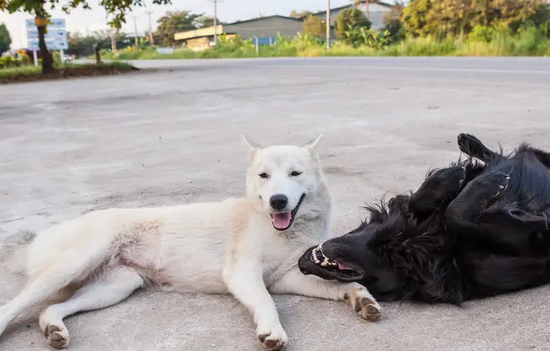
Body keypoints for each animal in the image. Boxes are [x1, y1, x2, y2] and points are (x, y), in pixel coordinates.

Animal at [0, 136, 382, 351]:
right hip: (76, 263)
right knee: (12, 306)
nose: (277, 201)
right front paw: (271, 330)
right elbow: (266, 303)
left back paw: (54, 329)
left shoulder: (285, 278)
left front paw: (361, 299)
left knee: (50, 309)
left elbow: (342, 286)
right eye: (264, 176)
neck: (280, 228)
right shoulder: (244, 275)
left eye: (295, 174)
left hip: (115, 287)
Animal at [302, 133, 550, 304]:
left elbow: (417, 202)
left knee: (510, 154)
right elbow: (454, 213)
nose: (302, 265)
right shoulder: (530, 242)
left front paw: (447, 179)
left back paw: (469, 142)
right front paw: (486, 183)